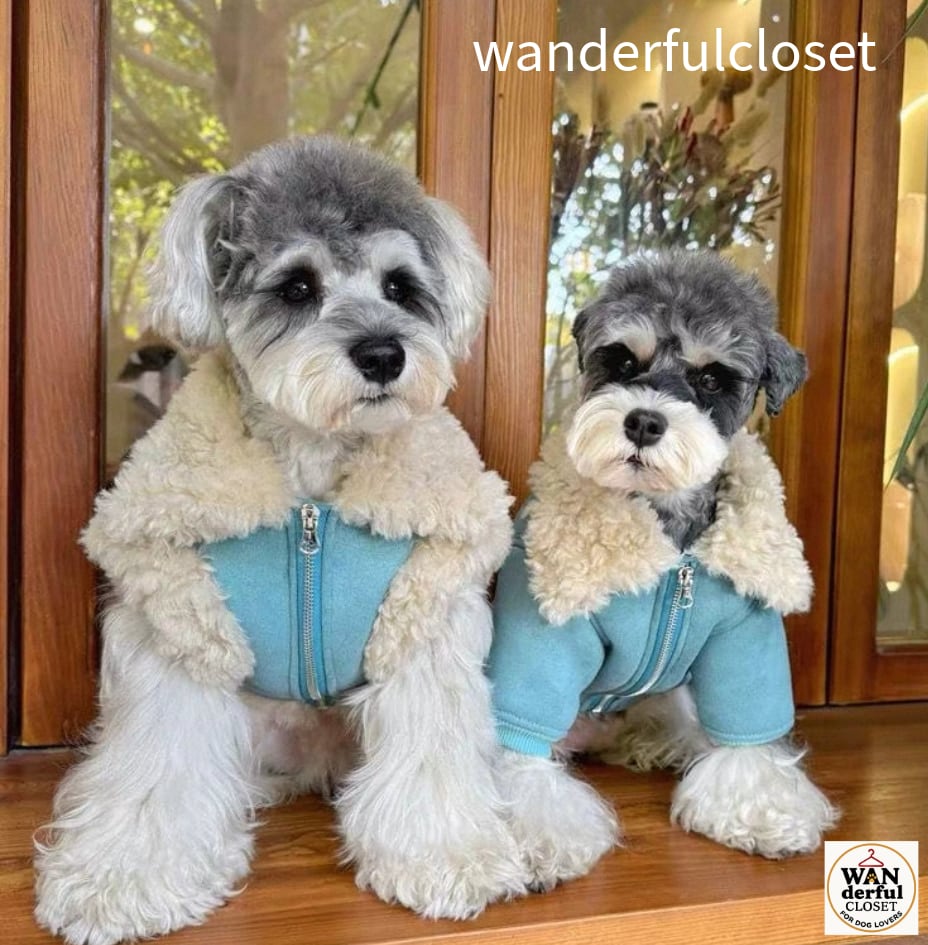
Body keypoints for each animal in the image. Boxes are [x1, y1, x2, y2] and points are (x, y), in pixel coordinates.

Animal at [35, 136, 529, 944]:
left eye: (400, 285)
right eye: (297, 287)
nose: (385, 354)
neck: (311, 497)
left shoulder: (423, 626)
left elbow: (430, 754)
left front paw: (444, 857)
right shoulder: (179, 633)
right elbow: (154, 773)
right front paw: (120, 881)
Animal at [486, 250, 839, 889]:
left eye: (711, 378)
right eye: (624, 359)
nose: (644, 422)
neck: (671, 549)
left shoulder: (744, 636)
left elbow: (748, 725)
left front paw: (763, 811)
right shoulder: (542, 634)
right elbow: (520, 738)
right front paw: (527, 835)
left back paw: (658, 743)